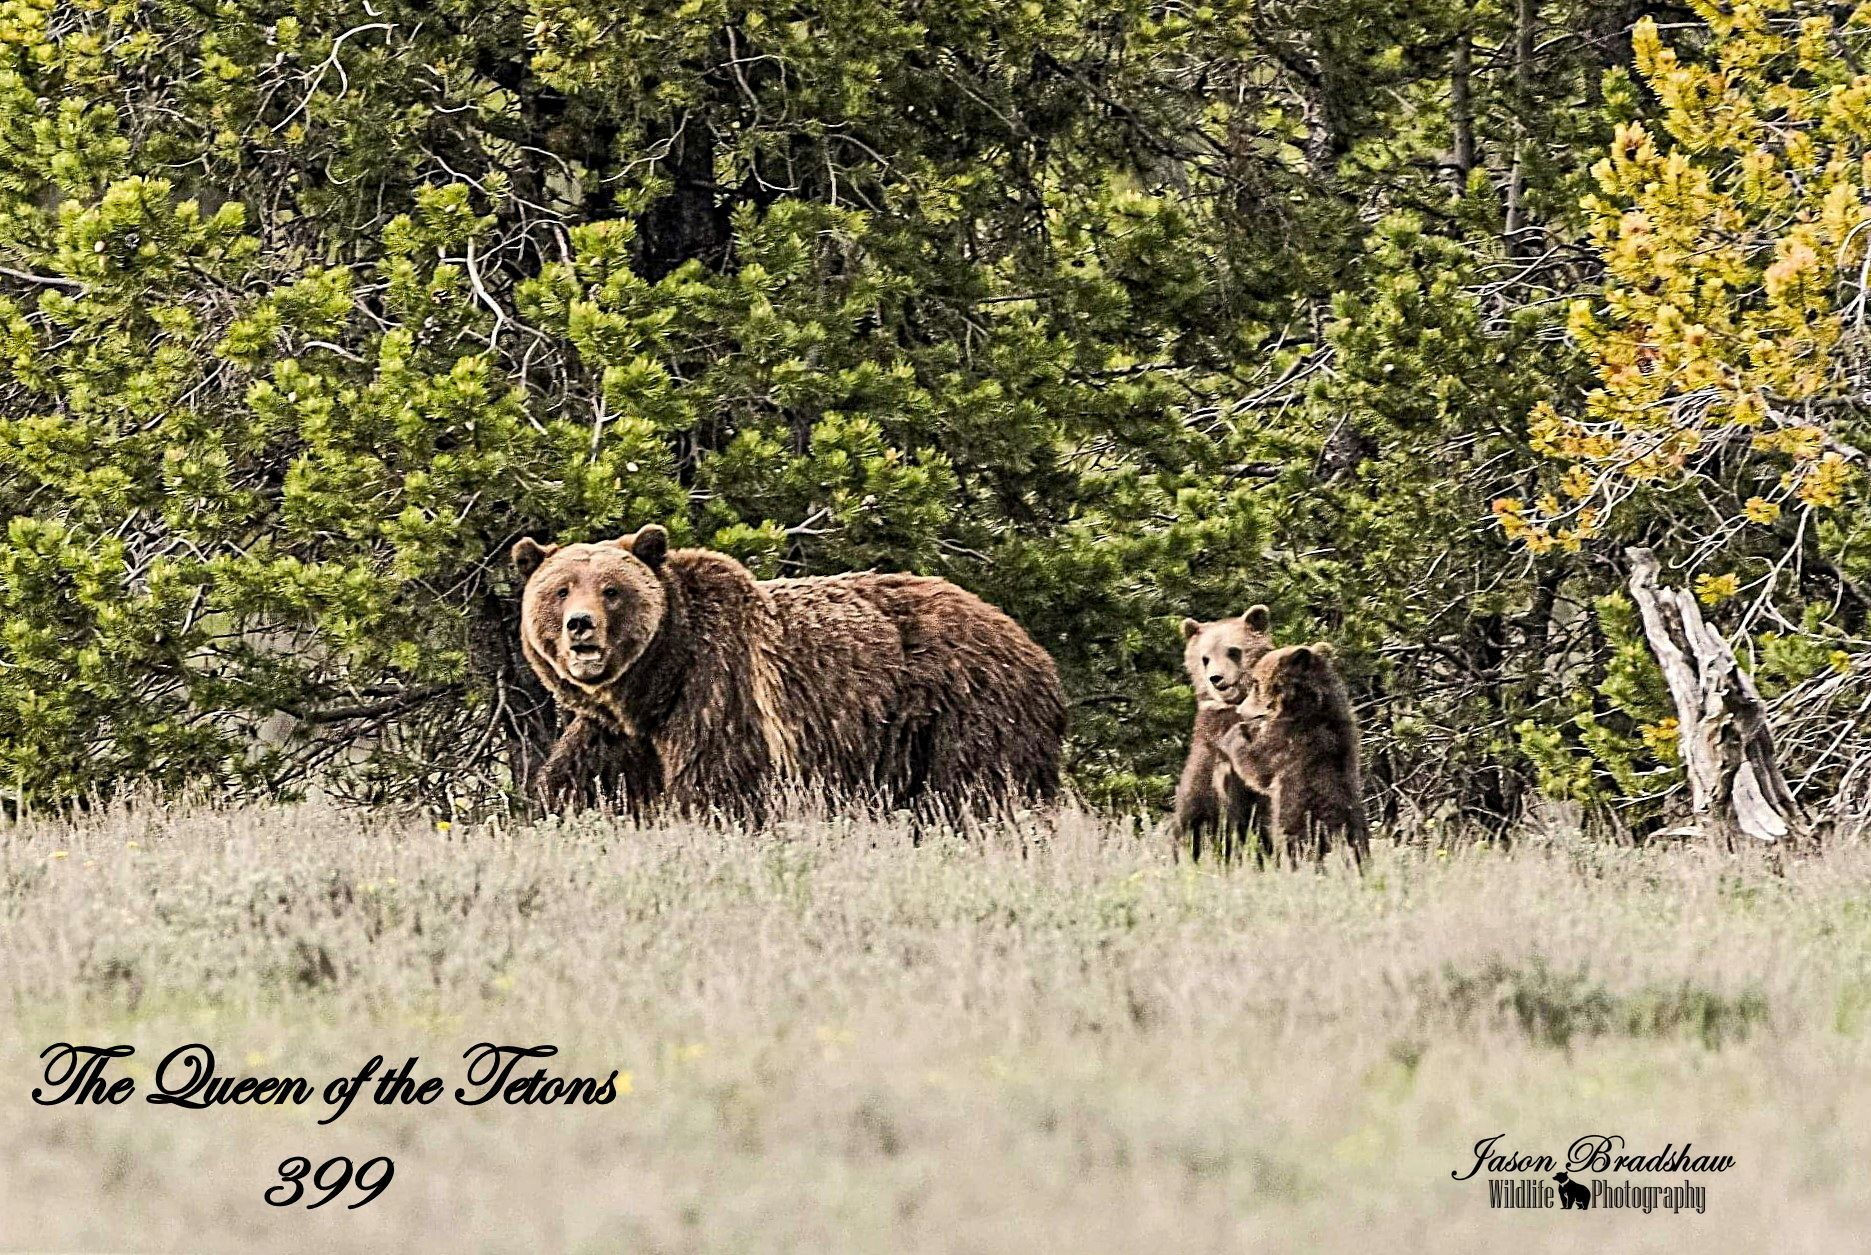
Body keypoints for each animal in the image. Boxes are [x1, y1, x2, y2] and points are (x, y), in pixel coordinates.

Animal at [514, 525, 1067, 822]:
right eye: (561, 589)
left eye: (611, 590)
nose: (580, 625)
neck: (657, 680)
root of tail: (1033, 647)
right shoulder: (620, 732)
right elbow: (581, 781)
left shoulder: (722, 689)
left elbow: (721, 785)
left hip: (968, 708)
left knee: (979, 789)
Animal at [1214, 642, 1370, 868]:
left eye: (1256, 683)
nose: (1240, 710)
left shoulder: (1287, 742)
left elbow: (1257, 765)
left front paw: (1233, 733)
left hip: (1302, 825)